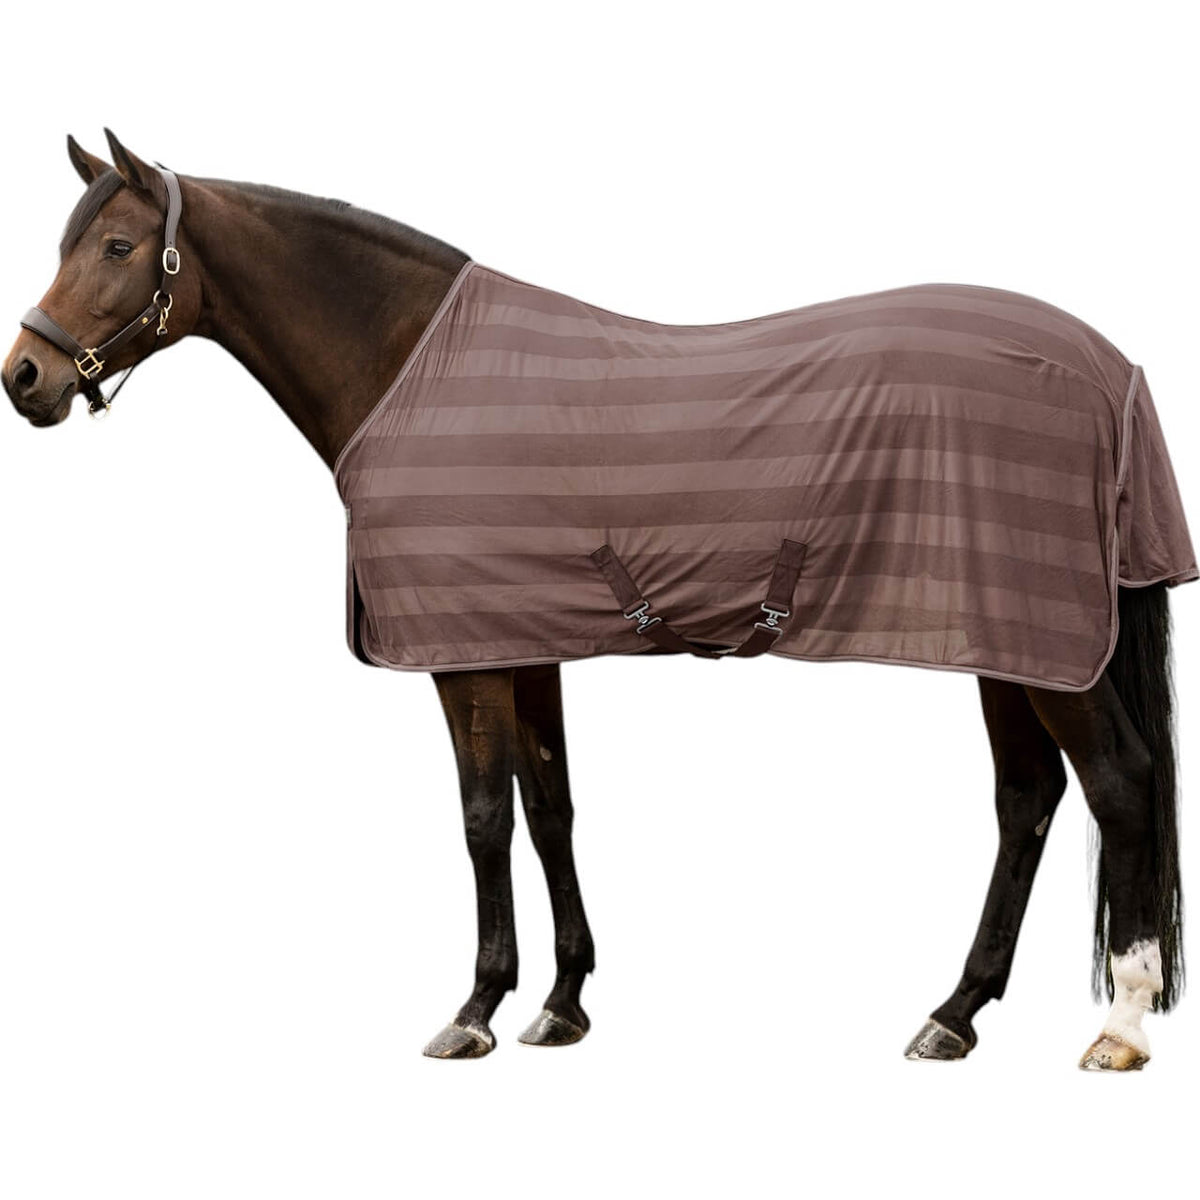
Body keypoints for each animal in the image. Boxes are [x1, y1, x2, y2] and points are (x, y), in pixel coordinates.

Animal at [4, 130, 1192, 1070]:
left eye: (117, 248)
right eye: (69, 244)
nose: (25, 378)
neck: (414, 370)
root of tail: (1112, 368)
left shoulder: (467, 658)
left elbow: (483, 819)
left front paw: (475, 1008)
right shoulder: (527, 642)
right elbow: (551, 810)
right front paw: (562, 1003)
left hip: (1047, 646)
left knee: (1121, 782)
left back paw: (1121, 1025)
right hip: (1008, 640)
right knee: (1028, 801)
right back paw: (954, 1013)